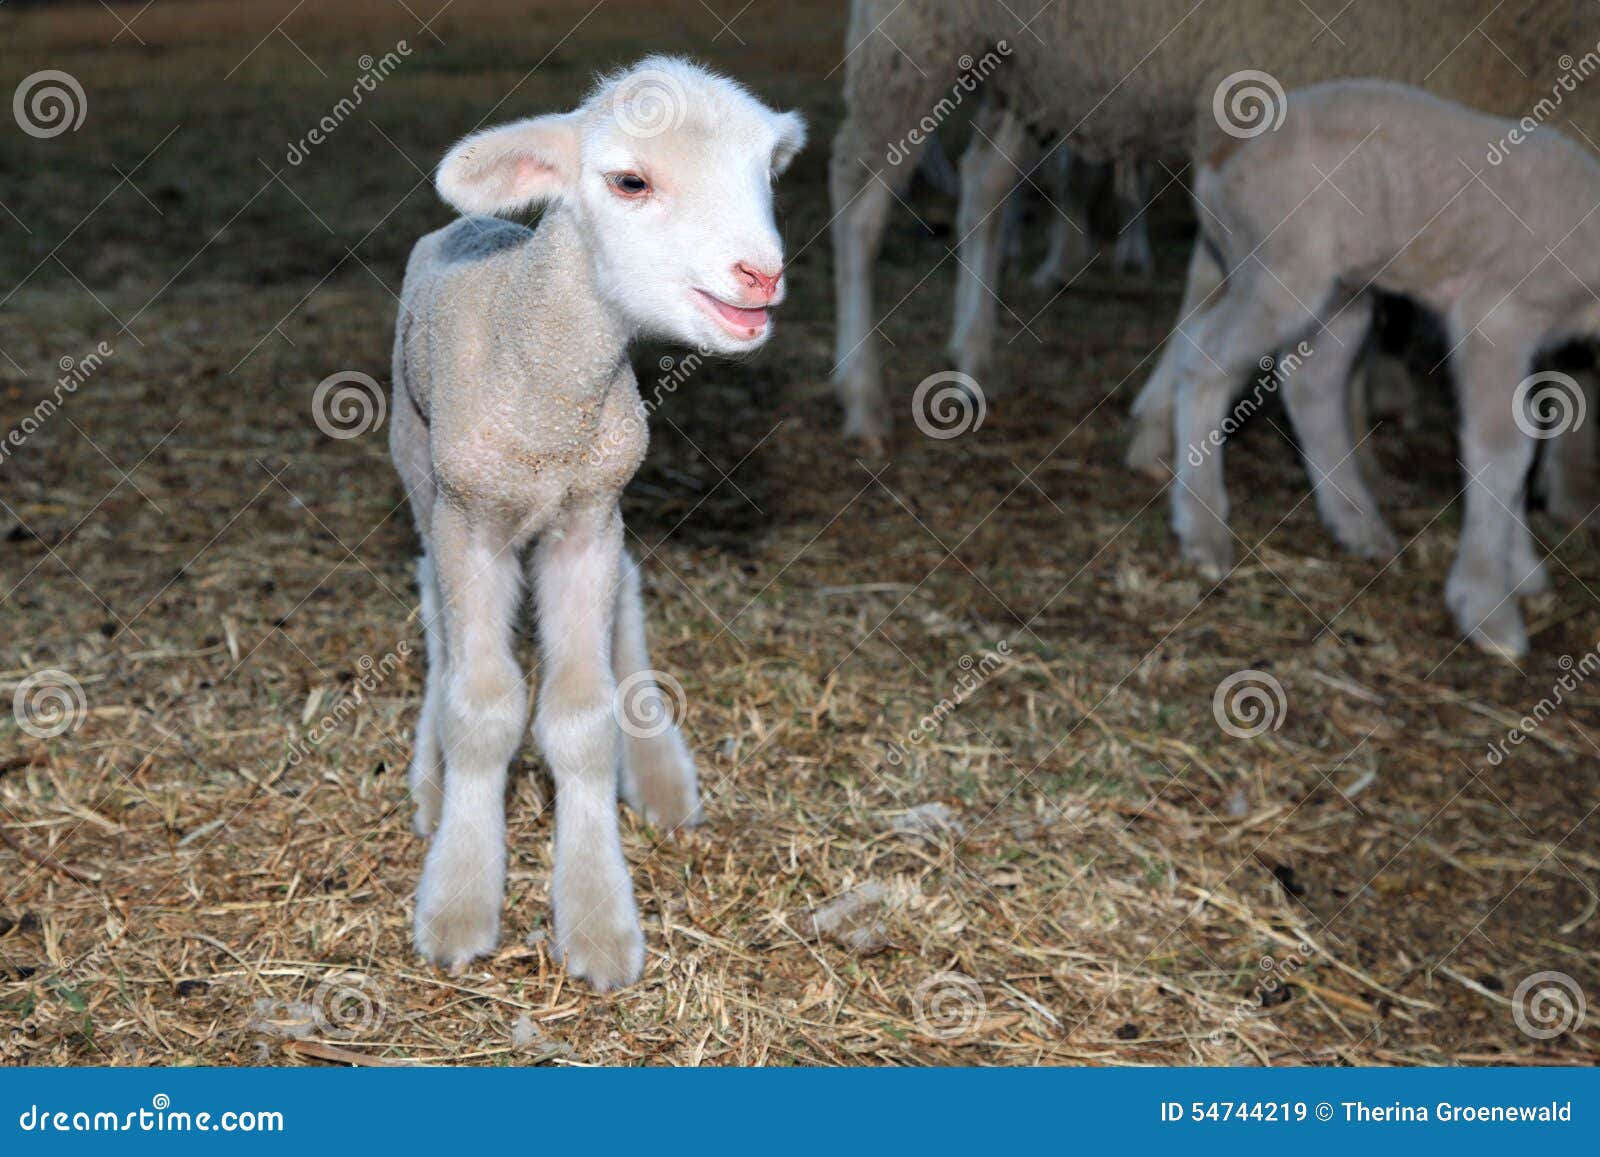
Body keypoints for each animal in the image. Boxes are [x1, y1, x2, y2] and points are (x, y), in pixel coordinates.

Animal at [389, 56, 805, 988]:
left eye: (767, 176)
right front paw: (460, 896)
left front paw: (596, 915)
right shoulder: (471, 517)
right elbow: (483, 706)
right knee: (433, 602)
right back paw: (430, 778)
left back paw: (658, 771)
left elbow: (580, 717)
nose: (760, 276)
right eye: (630, 182)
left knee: (630, 596)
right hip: (416, 458)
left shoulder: (590, 517)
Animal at [828, 0, 1600, 442]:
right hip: (913, 37)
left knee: (986, 186)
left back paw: (974, 354)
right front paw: (1162, 421)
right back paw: (860, 395)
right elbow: (1217, 281)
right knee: (857, 196)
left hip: (1024, 64)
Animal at [1163, 78, 1600, 659]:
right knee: (1204, 355)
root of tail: (1221, 154)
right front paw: (1489, 605)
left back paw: (1355, 522)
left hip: (1343, 288)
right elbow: (1503, 450)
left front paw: (1521, 569)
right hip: (1281, 264)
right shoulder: (1497, 313)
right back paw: (1203, 526)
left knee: (1311, 383)